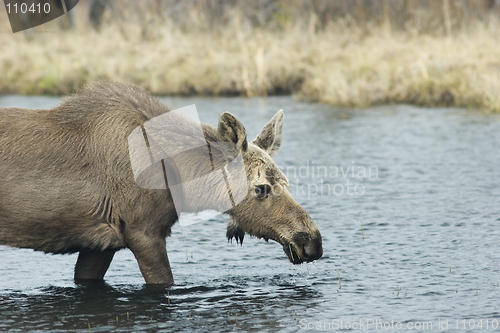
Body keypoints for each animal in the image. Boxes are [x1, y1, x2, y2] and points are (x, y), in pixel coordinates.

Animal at [0, 81, 324, 284]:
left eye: (287, 182)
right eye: (261, 188)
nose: (311, 241)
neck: (180, 181)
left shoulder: (99, 242)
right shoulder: (142, 230)